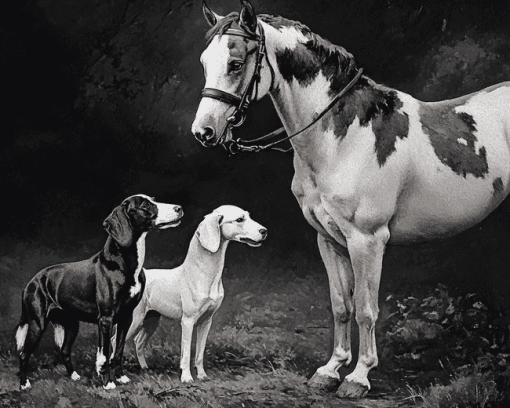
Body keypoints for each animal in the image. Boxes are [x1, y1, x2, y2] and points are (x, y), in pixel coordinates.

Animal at [14, 194, 183, 388]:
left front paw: (120, 377)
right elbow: (104, 353)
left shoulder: (126, 317)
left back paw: (74, 376)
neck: (122, 264)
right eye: (146, 205)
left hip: (71, 324)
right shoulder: (106, 320)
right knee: (24, 352)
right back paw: (24, 384)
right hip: (37, 323)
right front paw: (108, 383)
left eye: (153, 199)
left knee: (64, 350)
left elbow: (118, 351)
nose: (179, 208)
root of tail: (31, 282)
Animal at [124, 207, 266, 382]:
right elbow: (186, 353)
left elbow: (199, 352)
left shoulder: (206, 322)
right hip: (135, 320)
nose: (264, 231)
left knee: (138, 342)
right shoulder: (188, 322)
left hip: (151, 320)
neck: (203, 274)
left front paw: (202, 375)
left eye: (248, 216)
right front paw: (186, 377)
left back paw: (144, 368)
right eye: (240, 219)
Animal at [190, 0, 510, 398]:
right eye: (204, 61)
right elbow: (341, 305)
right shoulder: (328, 239)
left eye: (235, 63)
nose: (203, 131)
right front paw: (330, 370)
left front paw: (358, 377)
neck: (345, 139)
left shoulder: (367, 240)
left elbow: (365, 309)